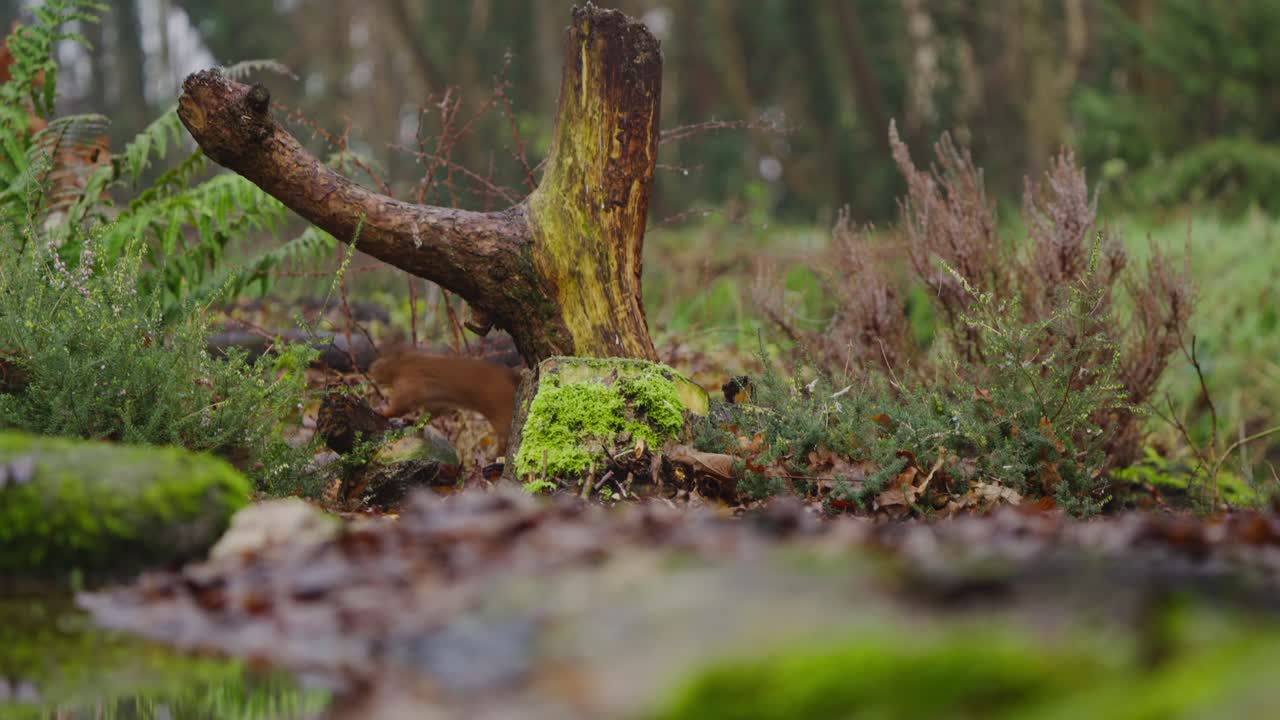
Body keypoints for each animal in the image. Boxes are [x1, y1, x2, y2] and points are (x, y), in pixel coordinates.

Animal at [368, 346, 522, 455]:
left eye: (376, 364)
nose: (370, 370)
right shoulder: (436, 403)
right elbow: (428, 415)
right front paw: (413, 421)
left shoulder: (410, 384)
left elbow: (399, 406)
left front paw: (380, 410)